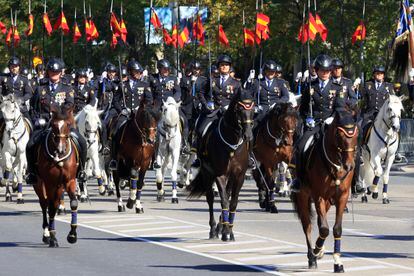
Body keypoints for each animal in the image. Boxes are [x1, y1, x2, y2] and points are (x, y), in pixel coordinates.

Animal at [33, 104, 79, 247]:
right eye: (53, 125)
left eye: (68, 124)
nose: (61, 149)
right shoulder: (49, 183)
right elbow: (51, 208)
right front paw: (52, 237)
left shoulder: (69, 181)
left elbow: (73, 203)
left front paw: (72, 235)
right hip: (40, 184)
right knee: (45, 204)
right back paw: (46, 234)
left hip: (59, 187)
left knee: (54, 202)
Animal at [188, 90, 256, 242]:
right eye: (239, 109)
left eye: (253, 109)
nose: (249, 135)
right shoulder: (220, 175)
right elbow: (224, 201)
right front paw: (225, 232)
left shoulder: (239, 176)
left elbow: (233, 202)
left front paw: (229, 230)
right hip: (207, 173)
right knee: (210, 199)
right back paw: (213, 229)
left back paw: (220, 226)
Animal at [292, 109, 360, 272]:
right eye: (339, 135)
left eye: (356, 135)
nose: (350, 166)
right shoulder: (318, 196)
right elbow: (324, 229)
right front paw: (316, 251)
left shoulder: (342, 197)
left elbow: (336, 229)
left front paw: (337, 262)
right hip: (303, 196)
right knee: (307, 225)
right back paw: (312, 256)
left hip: (328, 200)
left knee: (317, 221)